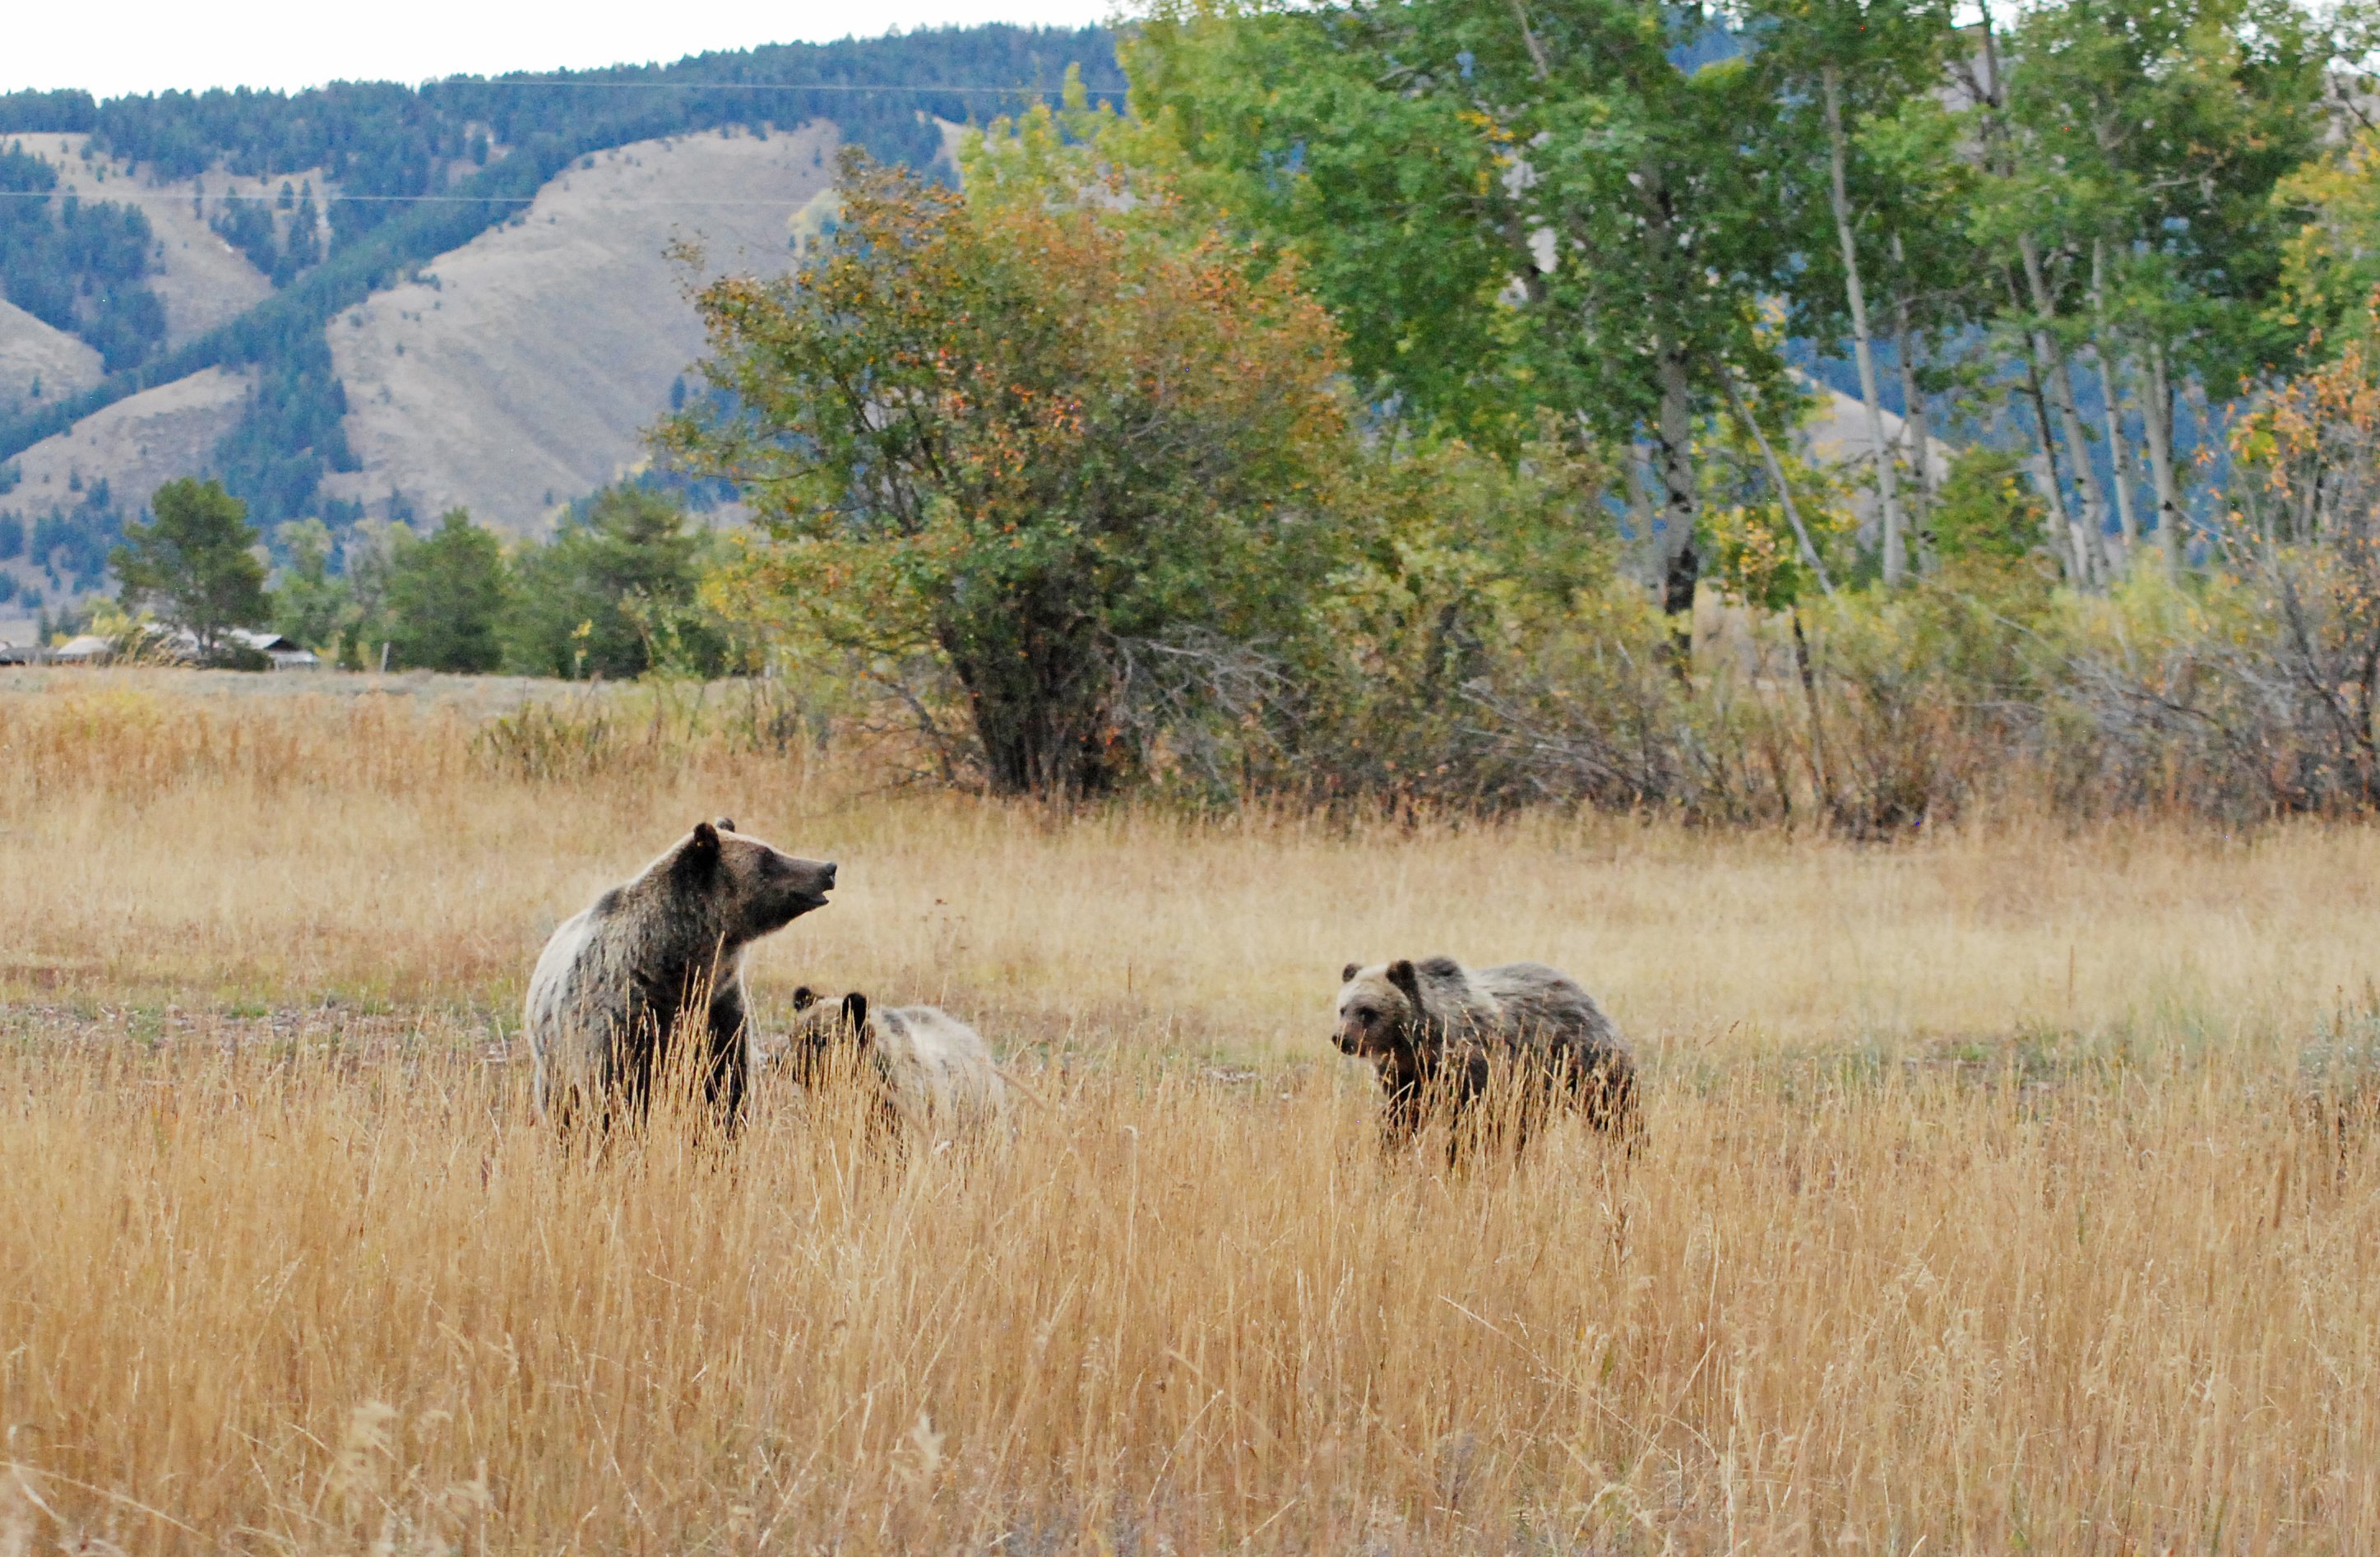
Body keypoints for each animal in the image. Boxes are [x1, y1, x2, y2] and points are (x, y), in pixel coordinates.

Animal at [525, 818, 837, 1133]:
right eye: (767, 856)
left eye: (771, 849)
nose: (828, 868)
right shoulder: (622, 1021)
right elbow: (616, 1094)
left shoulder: (719, 1011)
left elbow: (725, 1088)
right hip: (554, 1063)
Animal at [1333, 956, 1636, 1153]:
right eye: (1343, 1008)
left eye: (1367, 1012)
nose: (1341, 1038)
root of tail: (1585, 995)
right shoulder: (1408, 1079)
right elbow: (1401, 1117)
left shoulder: (1474, 1072)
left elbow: (1472, 1127)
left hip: (1586, 1063)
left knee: (1615, 1112)